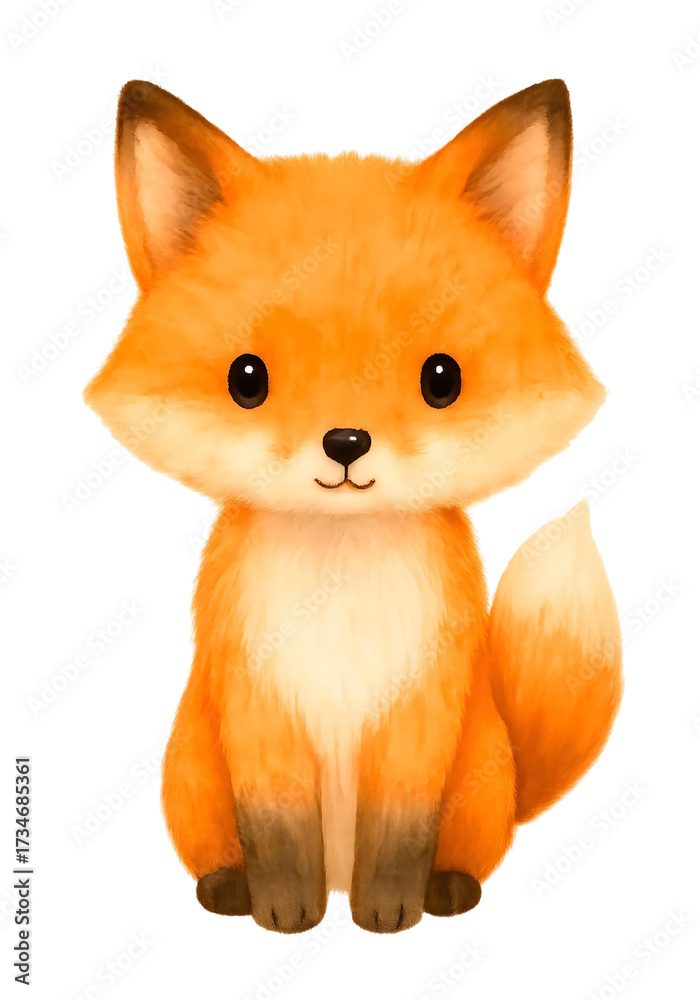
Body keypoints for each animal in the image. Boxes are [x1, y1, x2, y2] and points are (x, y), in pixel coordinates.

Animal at [84, 78, 622, 934]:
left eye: (441, 379)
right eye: (247, 379)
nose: (346, 442)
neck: (338, 596)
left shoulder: (419, 719)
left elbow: (401, 833)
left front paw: (390, 912)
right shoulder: (258, 715)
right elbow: (277, 834)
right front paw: (284, 913)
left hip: (476, 776)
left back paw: (448, 889)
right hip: (193, 775)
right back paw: (229, 889)